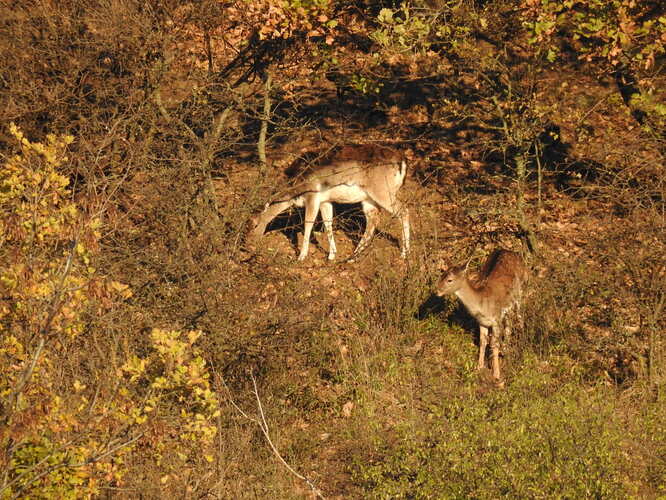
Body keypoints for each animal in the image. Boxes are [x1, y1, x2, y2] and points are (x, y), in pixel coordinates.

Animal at [246, 144, 408, 262]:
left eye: (254, 224)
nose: (247, 245)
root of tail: (402, 160)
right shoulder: (325, 200)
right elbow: (328, 223)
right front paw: (331, 255)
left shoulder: (312, 195)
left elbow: (308, 224)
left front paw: (301, 256)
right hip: (368, 199)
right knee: (373, 220)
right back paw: (353, 256)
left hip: (383, 190)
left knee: (403, 210)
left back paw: (404, 253)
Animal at [438, 249, 528, 382]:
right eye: (441, 275)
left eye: (450, 280)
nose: (437, 290)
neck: (482, 306)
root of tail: (512, 252)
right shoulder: (482, 322)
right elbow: (482, 342)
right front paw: (479, 367)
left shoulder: (496, 320)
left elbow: (494, 345)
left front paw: (496, 374)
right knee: (509, 323)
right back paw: (505, 349)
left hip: (520, 291)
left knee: (520, 316)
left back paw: (520, 342)